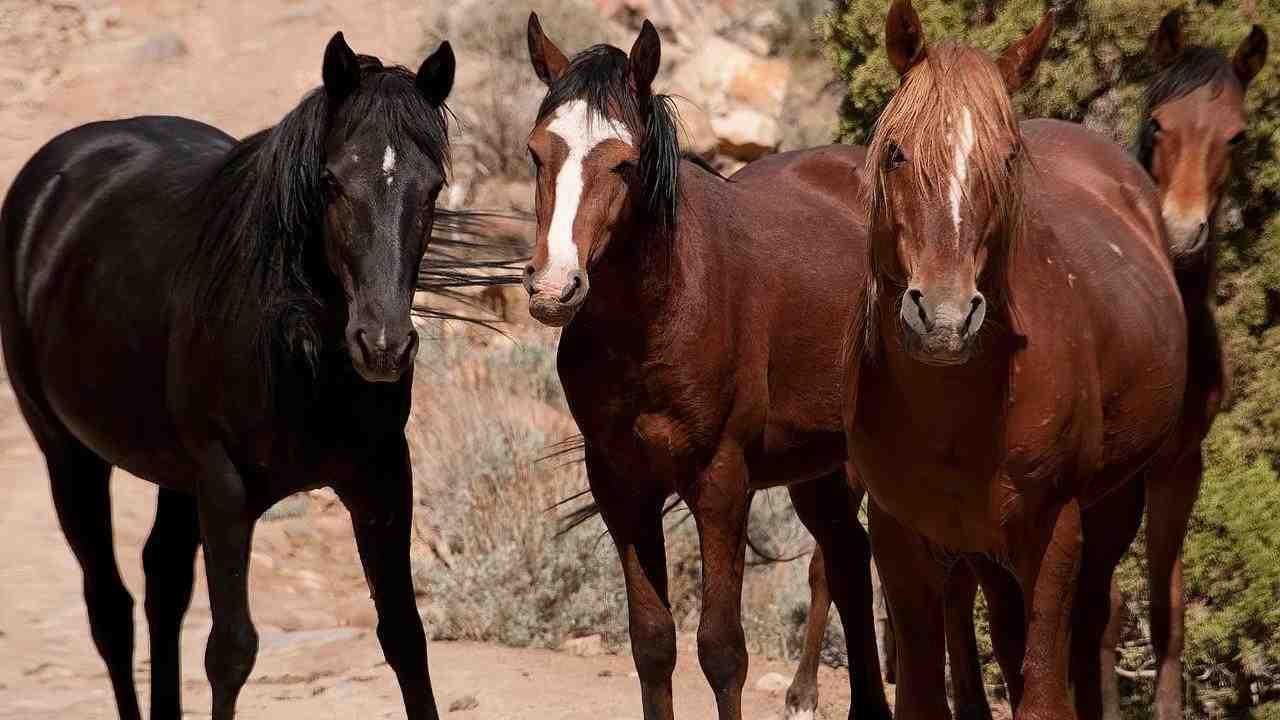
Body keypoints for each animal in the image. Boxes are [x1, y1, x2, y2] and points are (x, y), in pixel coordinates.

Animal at [0, 33, 460, 720]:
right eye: (331, 181)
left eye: (432, 188)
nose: (383, 346)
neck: (299, 356)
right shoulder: (224, 486)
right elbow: (231, 650)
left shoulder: (380, 476)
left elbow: (405, 635)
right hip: (67, 454)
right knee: (110, 610)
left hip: (172, 474)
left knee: (162, 585)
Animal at [522, 13, 891, 720]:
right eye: (535, 153)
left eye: (625, 163)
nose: (555, 287)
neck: (655, 323)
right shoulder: (620, 487)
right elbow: (652, 643)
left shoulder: (722, 483)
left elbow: (722, 650)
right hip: (818, 470)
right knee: (848, 561)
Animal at [843, 3, 1188, 719]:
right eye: (895, 153)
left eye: (1004, 159)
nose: (943, 318)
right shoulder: (899, 535)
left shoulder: (1053, 532)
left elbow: (1044, 693)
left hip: (1116, 506)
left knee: (1091, 625)